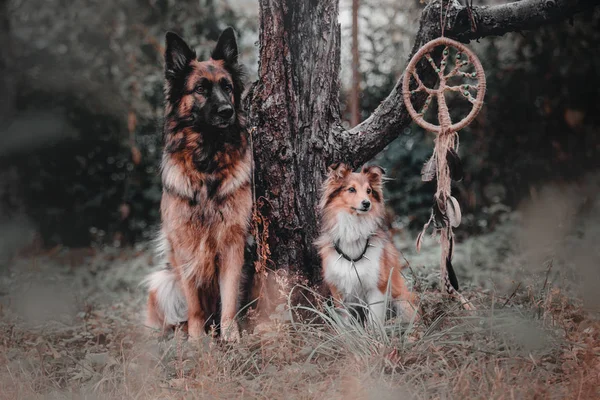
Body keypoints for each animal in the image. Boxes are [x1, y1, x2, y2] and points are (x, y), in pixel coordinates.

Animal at [145, 27, 251, 340]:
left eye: (227, 87)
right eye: (201, 89)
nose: (227, 111)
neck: (208, 163)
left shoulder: (233, 244)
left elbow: (229, 298)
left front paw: (231, 338)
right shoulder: (184, 247)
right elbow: (193, 305)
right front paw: (196, 341)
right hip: (161, 282)